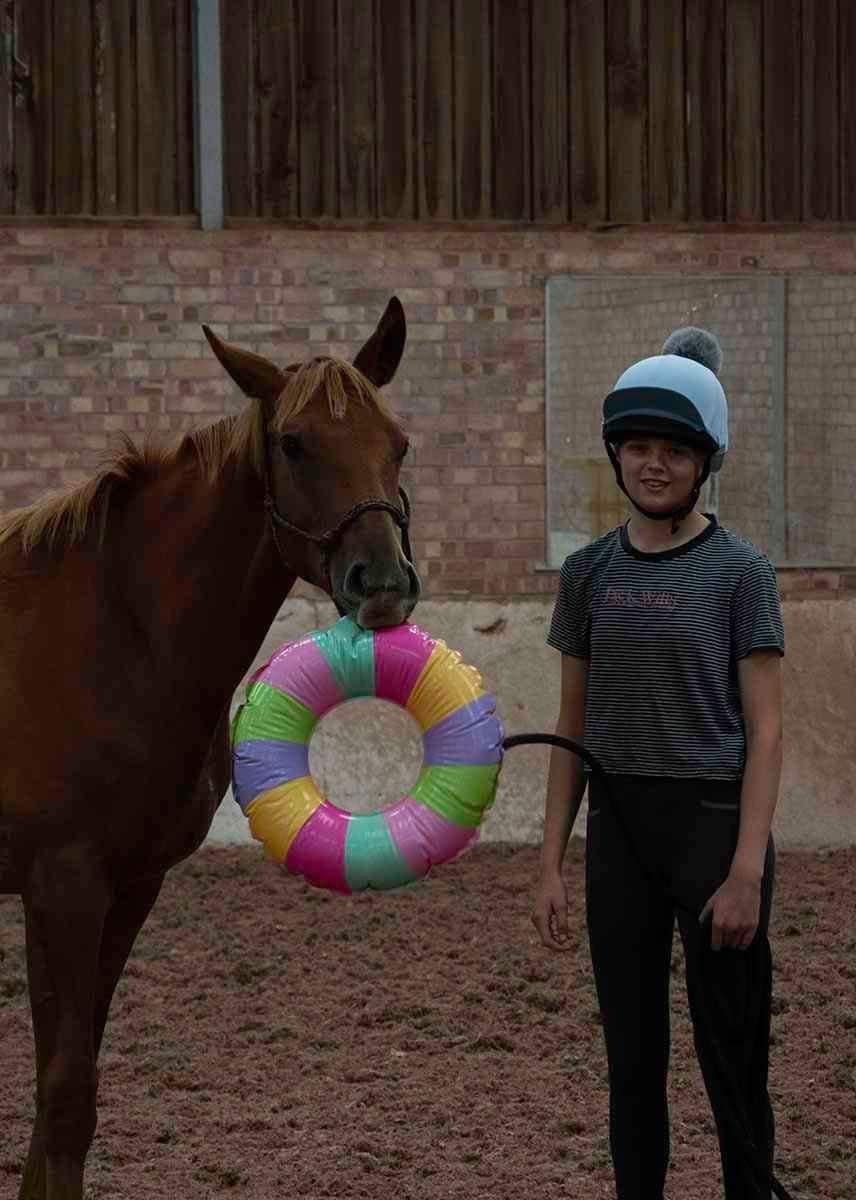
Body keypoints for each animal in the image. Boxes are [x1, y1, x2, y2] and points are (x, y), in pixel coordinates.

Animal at [0, 292, 417, 1200]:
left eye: (399, 442)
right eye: (294, 442)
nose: (382, 584)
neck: (117, 629)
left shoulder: (128, 887)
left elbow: (61, 1096)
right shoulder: (62, 886)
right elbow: (65, 1097)